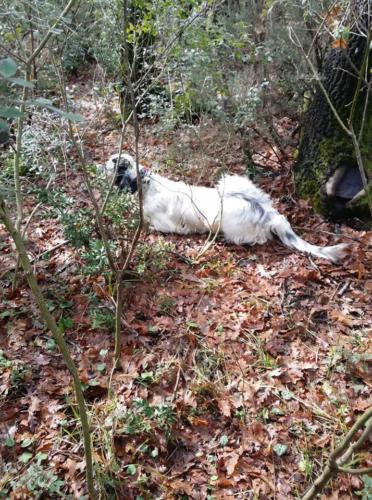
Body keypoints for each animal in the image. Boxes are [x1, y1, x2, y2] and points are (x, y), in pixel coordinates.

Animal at [104, 153, 348, 264]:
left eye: (114, 161)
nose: (103, 162)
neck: (146, 184)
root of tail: (268, 213)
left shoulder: (159, 224)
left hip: (227, 212)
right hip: (233, 181)